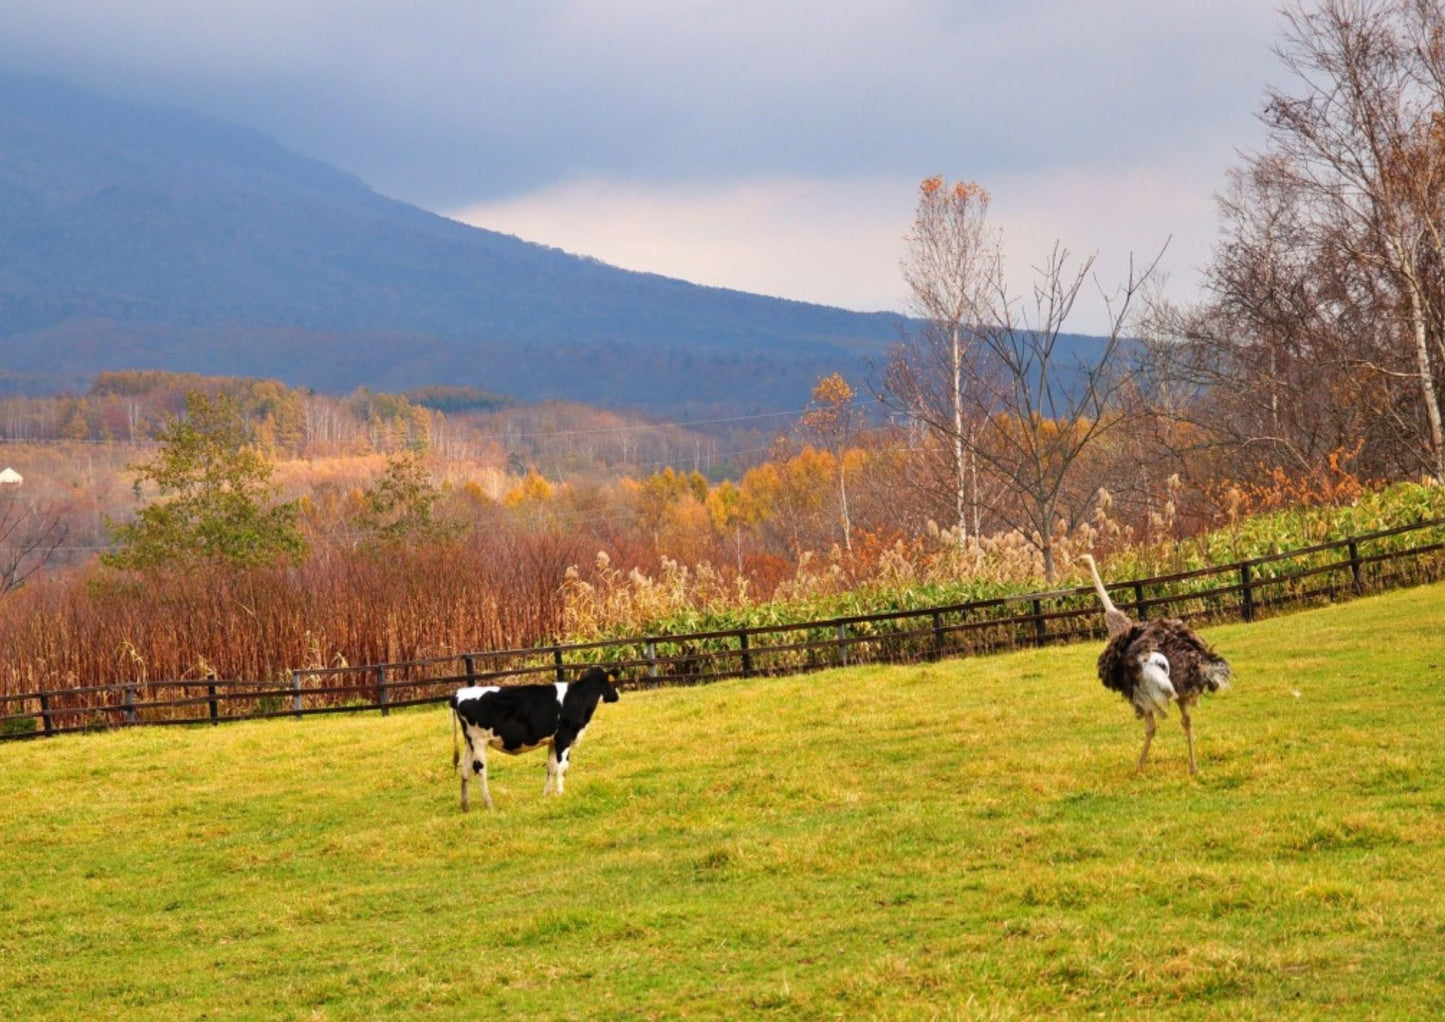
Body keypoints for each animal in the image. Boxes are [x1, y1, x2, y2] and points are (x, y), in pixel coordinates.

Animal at [445, 664, 615, 815]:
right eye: (610, 682)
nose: (617, 695)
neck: (579, 697)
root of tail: (459, 693)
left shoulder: (553, 741)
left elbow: (551, 768)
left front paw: (546, 797)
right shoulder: (564, 738)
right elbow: (563, 768)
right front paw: (560, 794)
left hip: (469, 742)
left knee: (465, 769)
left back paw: (465, 807)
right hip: (478, 740)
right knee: (480, 769)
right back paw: (489, 804)